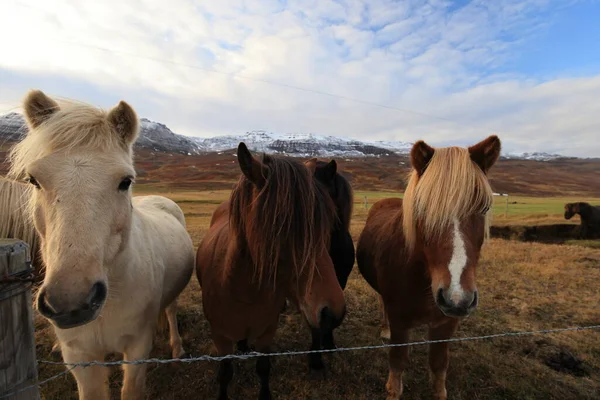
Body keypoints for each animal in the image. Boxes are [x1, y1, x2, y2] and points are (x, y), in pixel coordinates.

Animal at [8, 90, 196, 400]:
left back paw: (177, 348)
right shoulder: (81, 358)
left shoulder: (137, 348)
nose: (71, 302)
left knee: (169, 311)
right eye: (33, 180)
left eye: (125, 181)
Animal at [197, 142, 346, 398]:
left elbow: (263, 368)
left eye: (326, 226)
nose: (332, 312)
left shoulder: (267, 332)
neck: (244, 292)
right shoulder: (220, 337)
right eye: (279, 226)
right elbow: (225, 374)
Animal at [356, 135, 502, 400]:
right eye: (423, 209)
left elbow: (439, 365)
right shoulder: (400, 320)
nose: (457, 298)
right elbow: (397, 365)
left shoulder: (446, 323)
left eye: (485, 207)